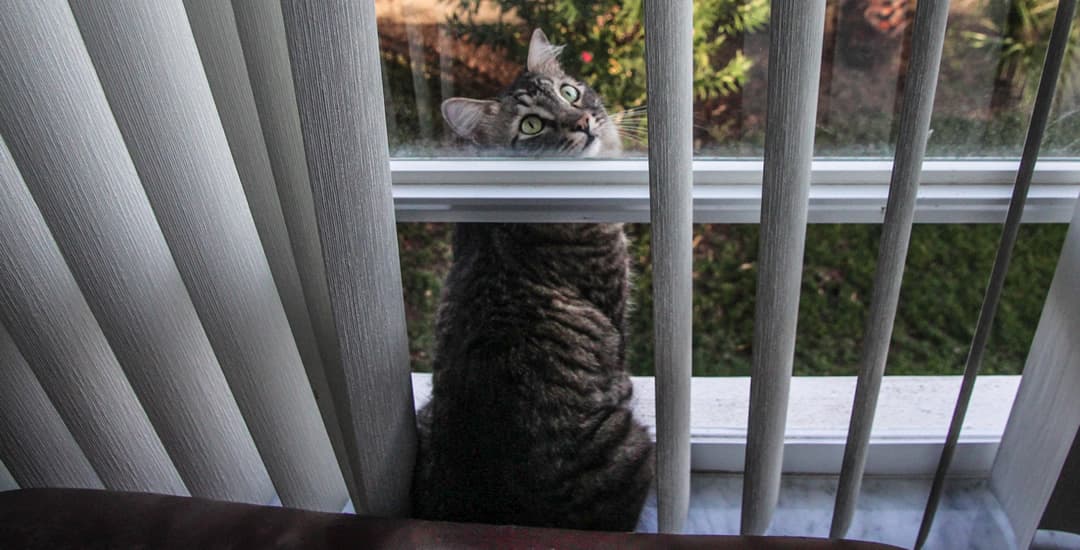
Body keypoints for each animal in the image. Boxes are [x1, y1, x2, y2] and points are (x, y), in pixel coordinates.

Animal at [410, 29, 648, 531]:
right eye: (533, 126)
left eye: (570, 93)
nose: (584, 122)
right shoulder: (615, 307)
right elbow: (620, 358)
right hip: (634, 442)